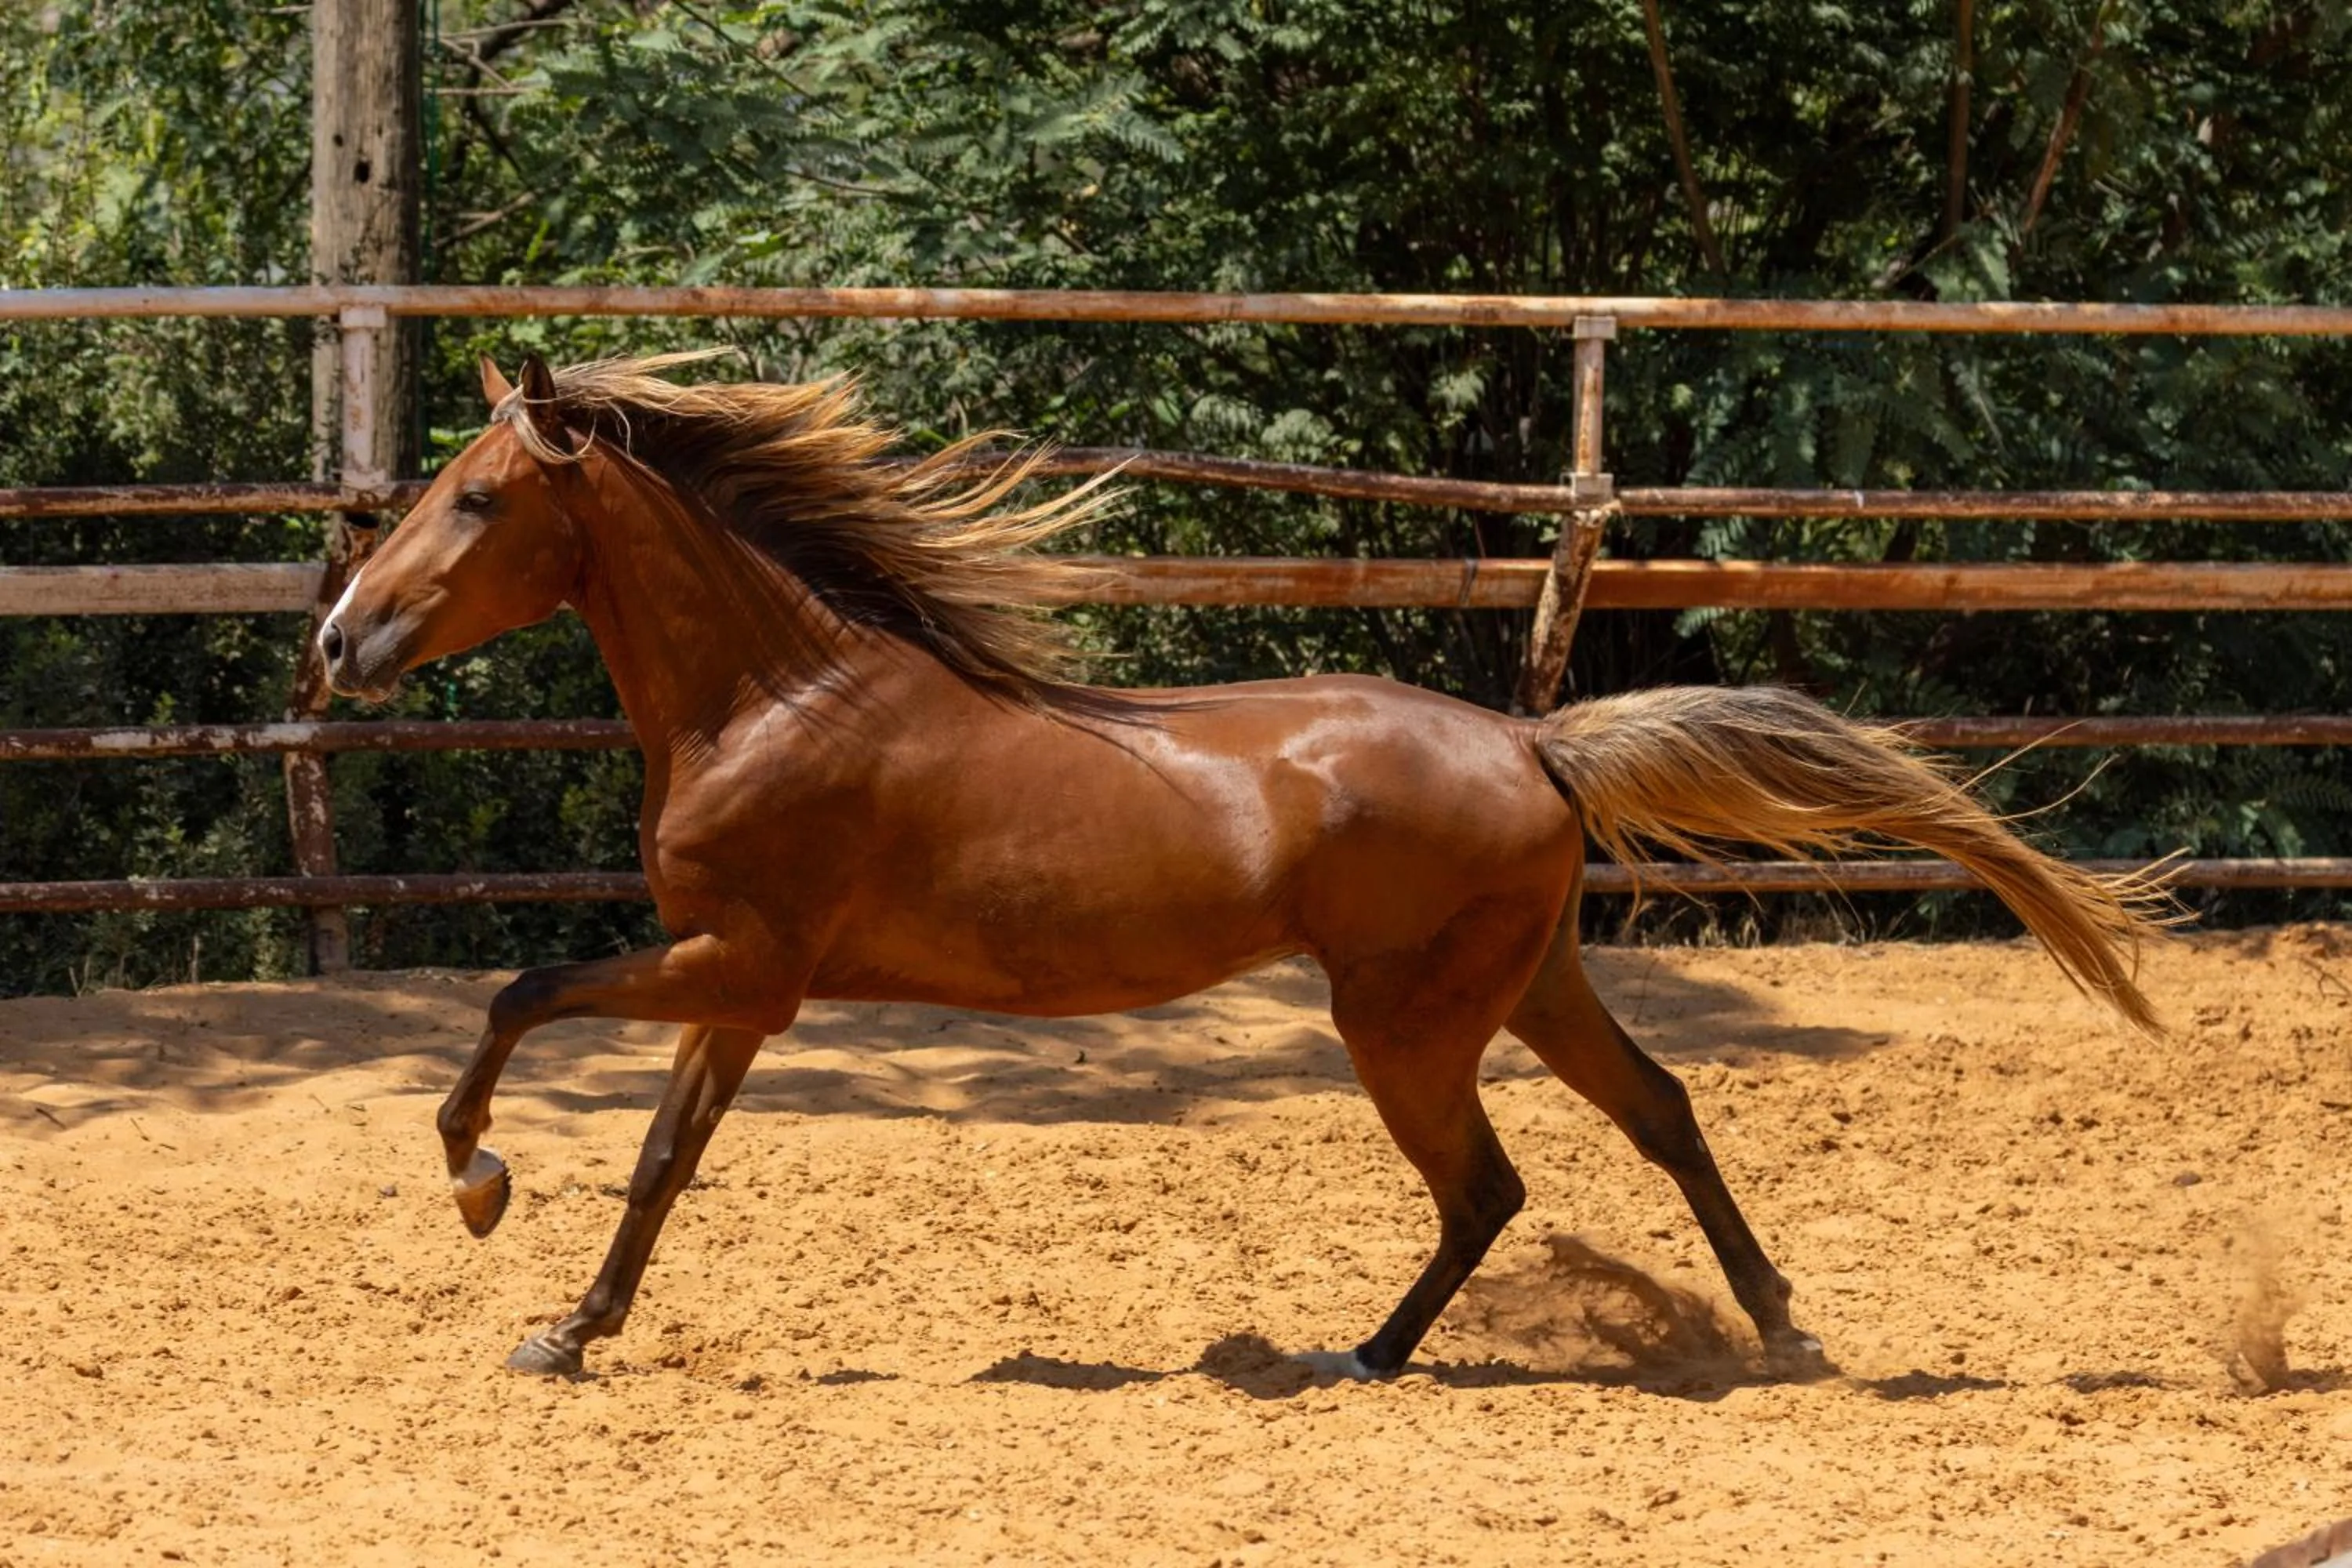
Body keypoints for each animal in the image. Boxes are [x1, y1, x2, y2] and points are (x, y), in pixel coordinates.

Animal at [319, 351, 2164, 1381]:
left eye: (477, 499)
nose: (339, 640)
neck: (779, 692)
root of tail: (1537, 747)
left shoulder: (739, 964)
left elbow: (517, 994)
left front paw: (480, 1190)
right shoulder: (741, 987)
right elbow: (659, 1163)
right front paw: (567, 1331)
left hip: (1404, 1023)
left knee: (1490, 1185)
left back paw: (1364, 1356)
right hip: (1528, 986)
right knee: (1656, 1113)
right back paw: (1775, 1329)